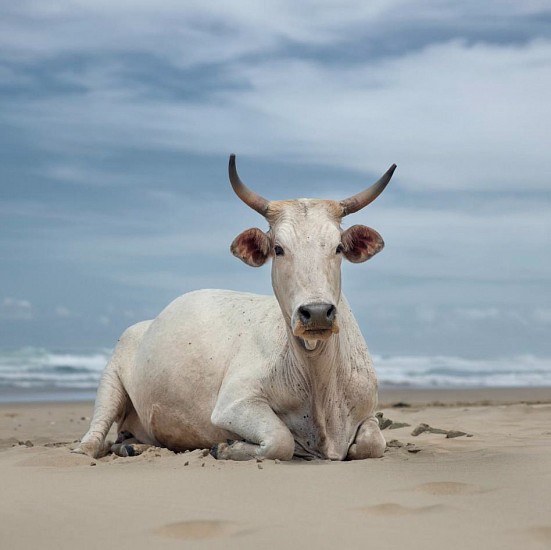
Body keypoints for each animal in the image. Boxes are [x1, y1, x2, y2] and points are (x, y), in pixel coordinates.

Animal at [76, 154, 396, 462]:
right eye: (278, 249)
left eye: (338, 247)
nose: (317, 312)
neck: (318, 378)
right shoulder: (234, 403)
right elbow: (281, 440)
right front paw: (226, 448)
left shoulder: (368, 412)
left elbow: (373, 443)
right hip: (110, 379)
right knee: (97, 434)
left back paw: (133, 447)